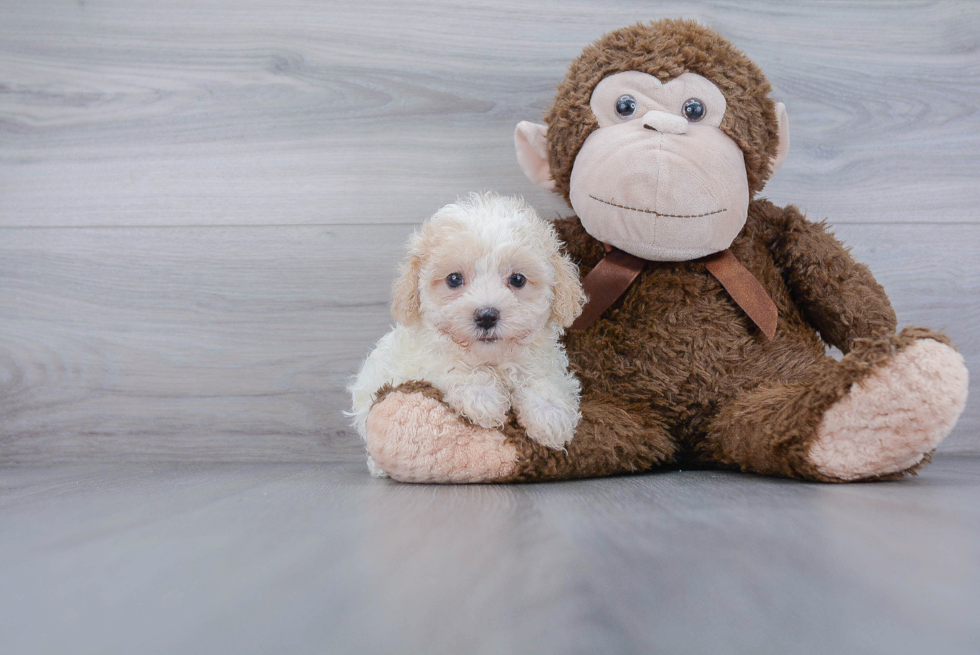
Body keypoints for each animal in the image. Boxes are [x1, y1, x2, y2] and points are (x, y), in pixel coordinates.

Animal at [350, 190, 584, 472]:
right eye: (454, 279)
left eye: (517, 279)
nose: (486, 316)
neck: (490, 359)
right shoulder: (417, 358)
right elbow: (449, 363)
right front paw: (482, 396)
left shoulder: (539, 358)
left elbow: (543, 378)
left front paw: (550, 414)